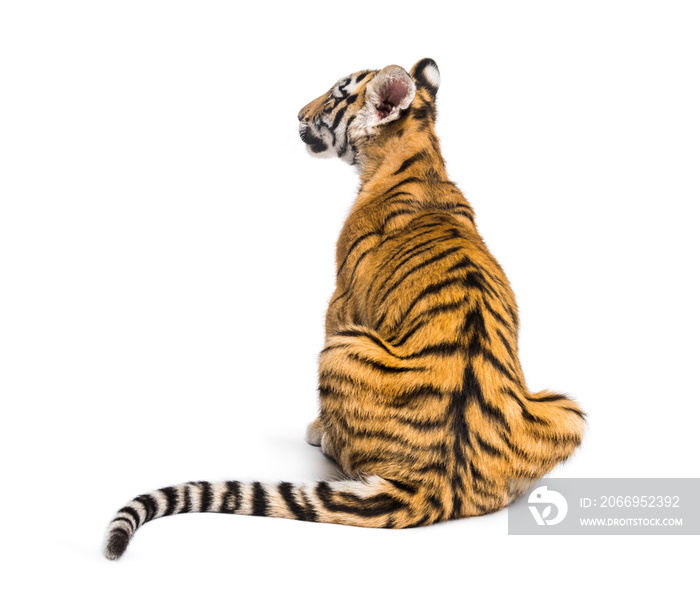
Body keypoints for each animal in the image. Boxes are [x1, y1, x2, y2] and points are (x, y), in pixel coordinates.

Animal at [105, 56, 584, 560]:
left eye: (336, 95)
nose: (297, 113)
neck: (418, 156)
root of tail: (439, 486)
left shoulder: (341, 300)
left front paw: (318, 426)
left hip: (340, 348)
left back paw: (327, 440)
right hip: (568, 411)